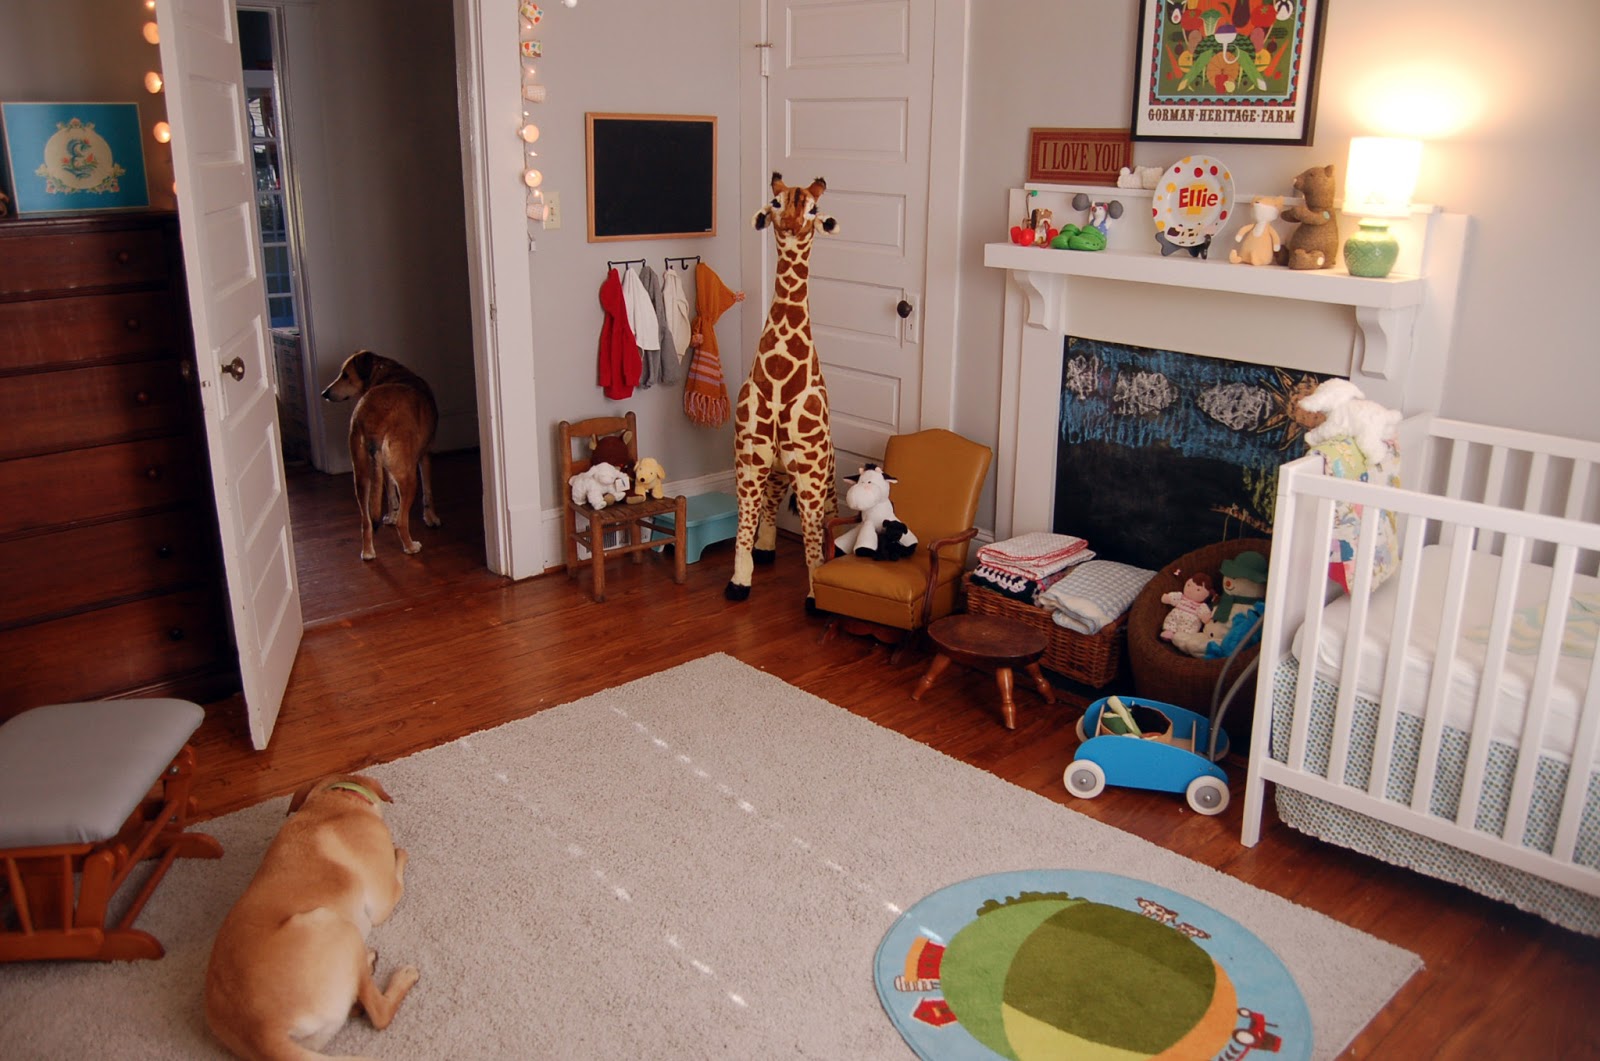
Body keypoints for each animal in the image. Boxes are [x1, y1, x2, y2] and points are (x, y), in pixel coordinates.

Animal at [204, 774, 418, 1061]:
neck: (335, 803)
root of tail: (262, 1034)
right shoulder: (384, 898)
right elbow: (397, 871)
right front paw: (399, 852)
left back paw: (367, 965)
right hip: (335, 923)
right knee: (379, 1013)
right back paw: (402, 976)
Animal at [321, 350, 440, 560]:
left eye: (345, 375)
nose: (324, 394)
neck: (386, 373)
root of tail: (373, 422)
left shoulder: (383, 466)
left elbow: (390, 492)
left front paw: (391, 515)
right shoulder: (425, 454)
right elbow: (428, 491)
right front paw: (431, 518)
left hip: (361, 477)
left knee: (366, 521)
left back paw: (368, 552)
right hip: (408, 476)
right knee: (403, 522)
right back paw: (410, 546)